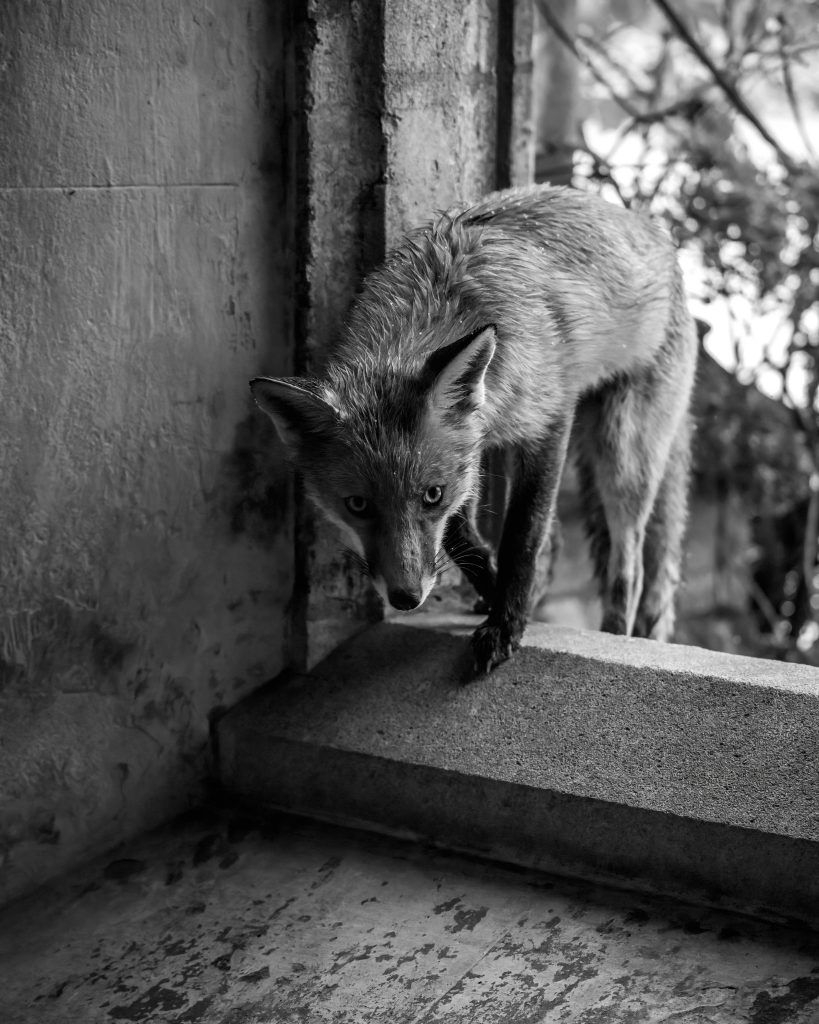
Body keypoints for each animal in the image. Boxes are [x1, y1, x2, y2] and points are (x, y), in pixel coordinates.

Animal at [250, 184, 698, 674]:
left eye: (430, 495)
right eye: (357, 505)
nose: (405, 599)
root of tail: (659, 237)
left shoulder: (549, 421)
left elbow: (523, 536)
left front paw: (506, 623)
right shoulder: (471, 442)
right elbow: (462, 533)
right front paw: (496, 592)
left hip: (623, 454)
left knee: (630, 563)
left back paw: (617, 633)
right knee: (560, 540)